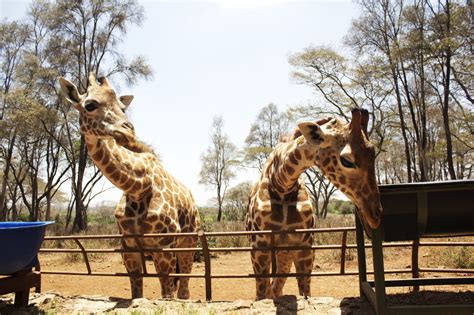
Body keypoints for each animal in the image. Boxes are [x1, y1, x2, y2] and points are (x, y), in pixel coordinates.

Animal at [58, 74, 200, 302]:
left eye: (122, 107)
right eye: (90, 105)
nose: (128, 130)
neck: (137, 186)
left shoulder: (164, 247)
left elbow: (167, 293)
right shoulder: (129, 249)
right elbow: (136, 293)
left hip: (189, 241)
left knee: (184, 289)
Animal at [246, 108, 384, 302]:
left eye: (373, 156)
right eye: (347, 161)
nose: (375, 215)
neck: (281, 185)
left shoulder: (304, 246)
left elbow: (305, 292)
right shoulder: (260, 247)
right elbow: (260, 294)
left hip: (284, 253)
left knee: (276, 287)